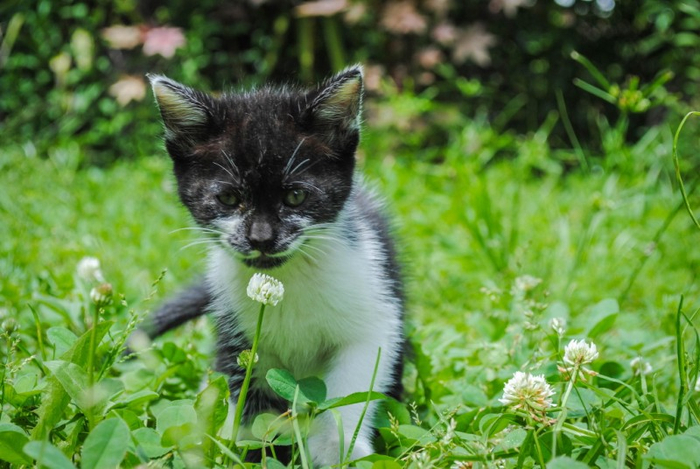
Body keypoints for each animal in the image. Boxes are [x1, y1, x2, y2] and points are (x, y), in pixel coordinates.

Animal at [144, 66, 402, 464]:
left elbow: (355, 380)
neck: (285, 277)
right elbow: (244, 397)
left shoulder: (374, 309)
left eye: (295, 196)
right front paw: (238, 449)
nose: (261, 238)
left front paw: (338, 448)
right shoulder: (237, 336)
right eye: (228, 198)